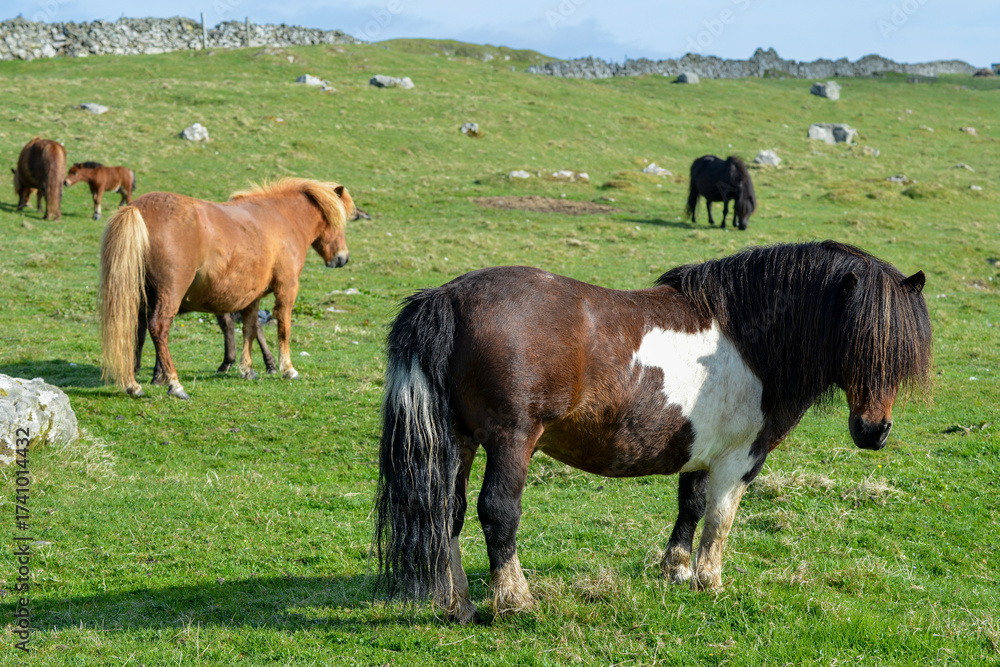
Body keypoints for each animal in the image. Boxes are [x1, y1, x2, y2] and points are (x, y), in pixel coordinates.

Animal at [99, 177, 354, 399]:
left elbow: (250, 329)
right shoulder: (287, 287)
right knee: (158, 328)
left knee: (134, 332)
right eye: (339, 223)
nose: (343, 258)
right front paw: (287, 369)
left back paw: (134, 384)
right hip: (168, 294)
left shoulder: (252, 295)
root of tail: (137, 209)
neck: (282, 218)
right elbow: (284, 328)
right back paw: (174, 384)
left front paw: (248, 369)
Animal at [374, 241, 931, 624]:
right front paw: (710, 582)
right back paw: (516, 600)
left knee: (447, 512)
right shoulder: (740, 458)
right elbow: (720, 519)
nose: (874, 431)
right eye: (860, 342)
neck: (750, 340)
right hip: (512, 441)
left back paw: (460, 605)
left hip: (461, 441)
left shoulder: (701, 451)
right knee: (497, 512)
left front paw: (676, 572)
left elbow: (691, 507)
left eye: (900, 352)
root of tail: (446, 297)